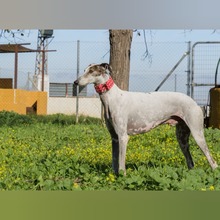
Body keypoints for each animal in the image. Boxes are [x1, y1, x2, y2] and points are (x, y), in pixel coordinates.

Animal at [74, 62, 218, 174]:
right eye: (84, 70)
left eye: (91, 71)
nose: (75, 82)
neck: (111, 98)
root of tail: (195, 102)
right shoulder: (114, 138)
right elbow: (115, 161)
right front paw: (114, 177)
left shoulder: (123, 137)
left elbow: (121, 163)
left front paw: (122, 176)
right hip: (182, 137)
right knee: (190, 162)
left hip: (197, 134)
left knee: (212, 161)